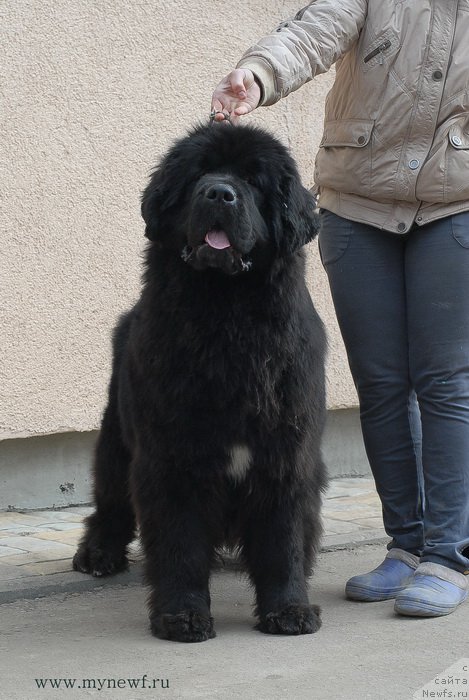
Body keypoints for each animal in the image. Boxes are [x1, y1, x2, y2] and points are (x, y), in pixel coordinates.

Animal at [75, 124, 328, 640]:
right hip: (117, 439)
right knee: (111, 499)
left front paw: (290, 609)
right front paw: (182, 615)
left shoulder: (285, 455)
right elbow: (181, 546)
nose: (219, 193)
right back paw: (98, 552)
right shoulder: (172, 457)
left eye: (252, 180)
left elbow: (284, 542)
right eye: (198, 175)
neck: (225, 316)